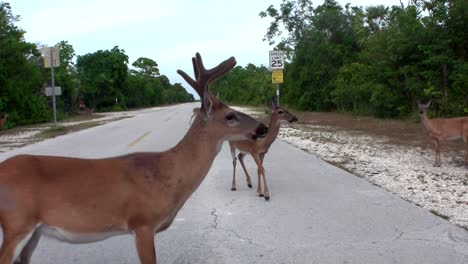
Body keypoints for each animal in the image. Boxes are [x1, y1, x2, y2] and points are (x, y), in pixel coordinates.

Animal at [0, 52, 266, 262]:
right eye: (230, 116)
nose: (262, 127)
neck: (168, 174)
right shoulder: (142, 223)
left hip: (34, 230)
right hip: (16, 222)